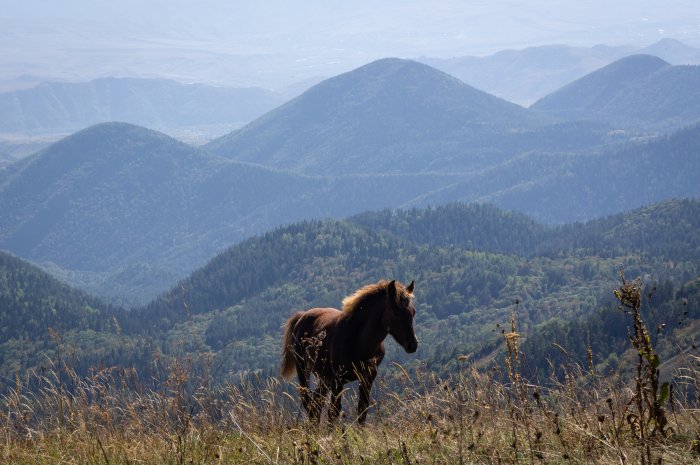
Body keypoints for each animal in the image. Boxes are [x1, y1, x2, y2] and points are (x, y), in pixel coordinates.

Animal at [282, 280, 418, 424]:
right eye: (395, 312)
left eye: (413, 312)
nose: (412, 345)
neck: (359, 341)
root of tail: (302, 316)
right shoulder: (338, 379)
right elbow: (334, 412)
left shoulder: (368, 378)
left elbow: (362, 410)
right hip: (304, 371)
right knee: (309, 401)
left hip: (324, 377)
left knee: (316, 403)